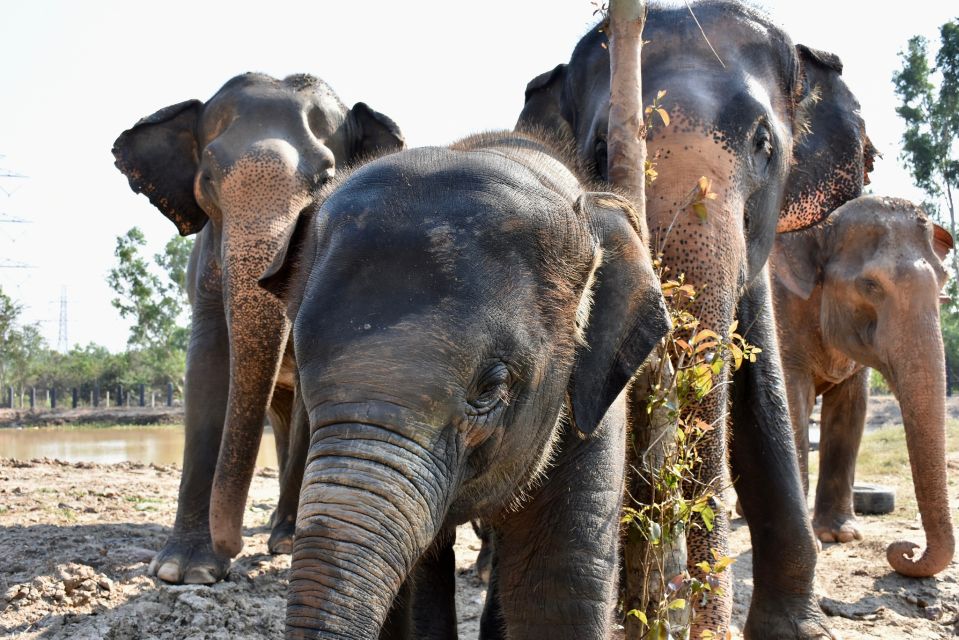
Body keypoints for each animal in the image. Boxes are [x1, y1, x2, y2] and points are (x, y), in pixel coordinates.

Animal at [113, 72, 404, 584]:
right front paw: (183, 569)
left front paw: (276, 544)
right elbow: (207, 367)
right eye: (207, 179)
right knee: (280, 414)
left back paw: (284, 533)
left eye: (325, 179)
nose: (229, 548)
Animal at [776, 194, 956, 576]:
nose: (906, 549)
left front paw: (841, 536)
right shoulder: (782, 311)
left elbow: (852, 409)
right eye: (870, 285)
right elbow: (793, 399)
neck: (822, 226)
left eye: (945, 280)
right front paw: (813, 544)